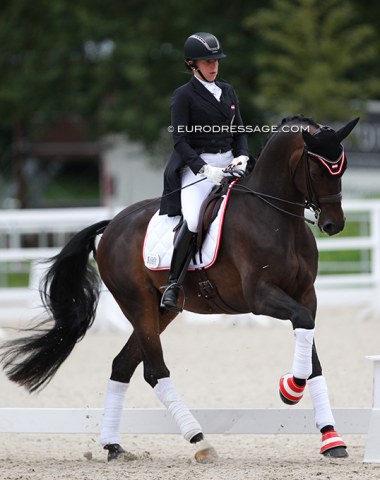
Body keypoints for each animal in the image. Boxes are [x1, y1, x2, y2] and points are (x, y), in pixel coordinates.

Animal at [0, 115, 360, 462]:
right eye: (318, 170)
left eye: (342, 168)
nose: (334, 224)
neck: (275, 217)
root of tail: (112, 224)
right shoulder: (261, 297)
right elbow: (303, 331)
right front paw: (290, 389)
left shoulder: (305, 296)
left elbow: (312, 354)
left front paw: (331, 438)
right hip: (139, 306)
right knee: (154, 370)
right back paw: (199, 440)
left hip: (162, 310)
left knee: (122, 365)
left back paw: (114, 446)